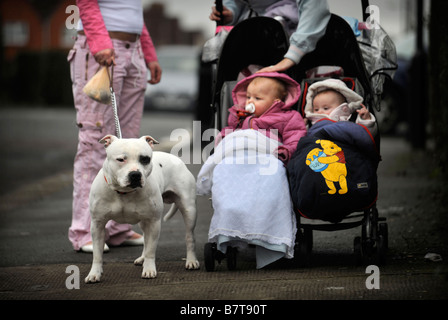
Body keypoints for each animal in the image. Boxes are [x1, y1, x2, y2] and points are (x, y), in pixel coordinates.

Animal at [85, 135, 200, 282]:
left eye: (145, 159)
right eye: (121, 159)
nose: (135, 174)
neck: (124, 192)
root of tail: (175, 158)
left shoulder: (154, 222)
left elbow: (151, 250)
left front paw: (149, 269)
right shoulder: (97, 225)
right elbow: (97, 254)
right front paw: (94, 273)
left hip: (189, 210)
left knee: (189, 236)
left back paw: (191, 261)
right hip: (143, 221)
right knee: (145, 238)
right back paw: (141, 258)